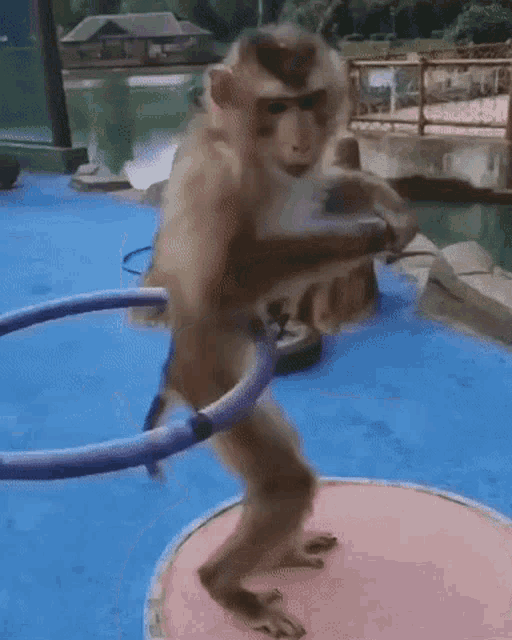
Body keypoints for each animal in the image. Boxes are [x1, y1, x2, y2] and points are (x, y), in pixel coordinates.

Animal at [133, 24, 418, 638]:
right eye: (275, 107)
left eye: (308, 101)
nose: (301, 137)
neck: (251, 151)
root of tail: (176, 364)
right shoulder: (215, 175)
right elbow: (226, 278)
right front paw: (371, 230)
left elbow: (321, 187)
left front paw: (379, 195)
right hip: (212, 386)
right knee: (285, 482)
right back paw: (225, 587)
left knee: (290, 469)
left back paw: (282, 553)